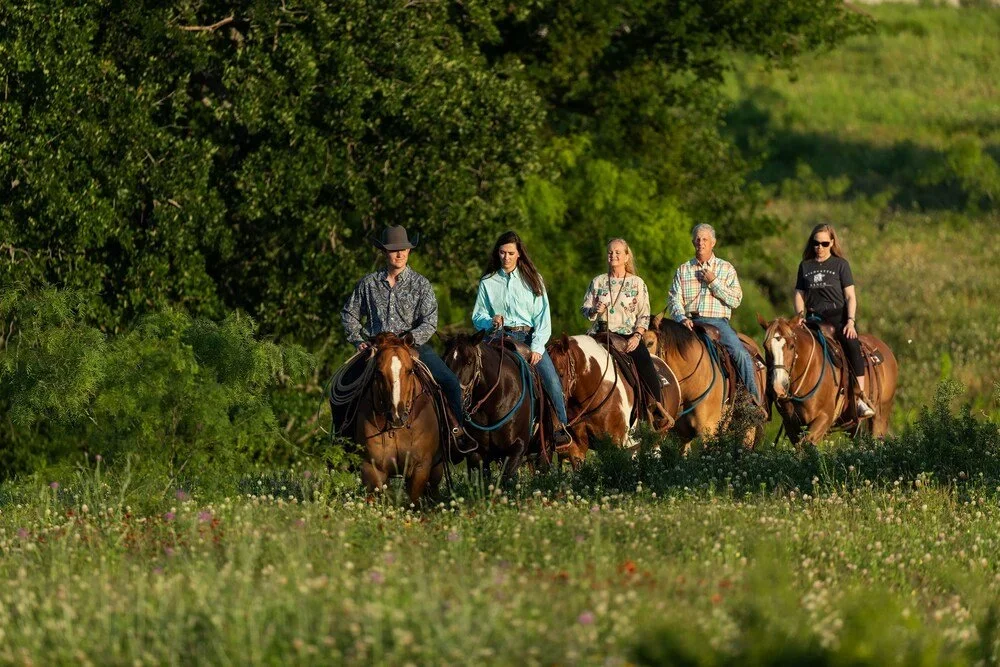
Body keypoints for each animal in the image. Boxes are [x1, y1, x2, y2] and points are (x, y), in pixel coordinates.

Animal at [757, 314, 898, 446]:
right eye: (766, 347)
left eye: (792, 346)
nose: (778, 387)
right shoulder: (791, 424)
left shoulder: (824, 417)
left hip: (880, 416)